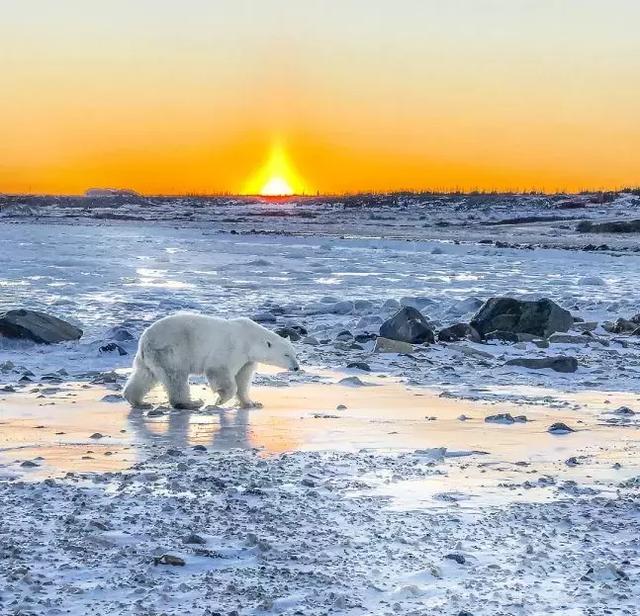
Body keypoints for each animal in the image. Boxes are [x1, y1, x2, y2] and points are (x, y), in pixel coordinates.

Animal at [124, 312, 300, 410]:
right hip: (171, 352)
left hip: (150, 357)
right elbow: (219, 371)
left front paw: (251, 403)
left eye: (295, 354)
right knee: (176, 378)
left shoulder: (247, 359)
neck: (250, 339)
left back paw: (138, 401)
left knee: (144, 376)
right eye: (286, 355)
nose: (297, 367)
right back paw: (191, 403)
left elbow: (243, 379)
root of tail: (144, 339)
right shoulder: (232, 347)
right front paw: (220, 399)